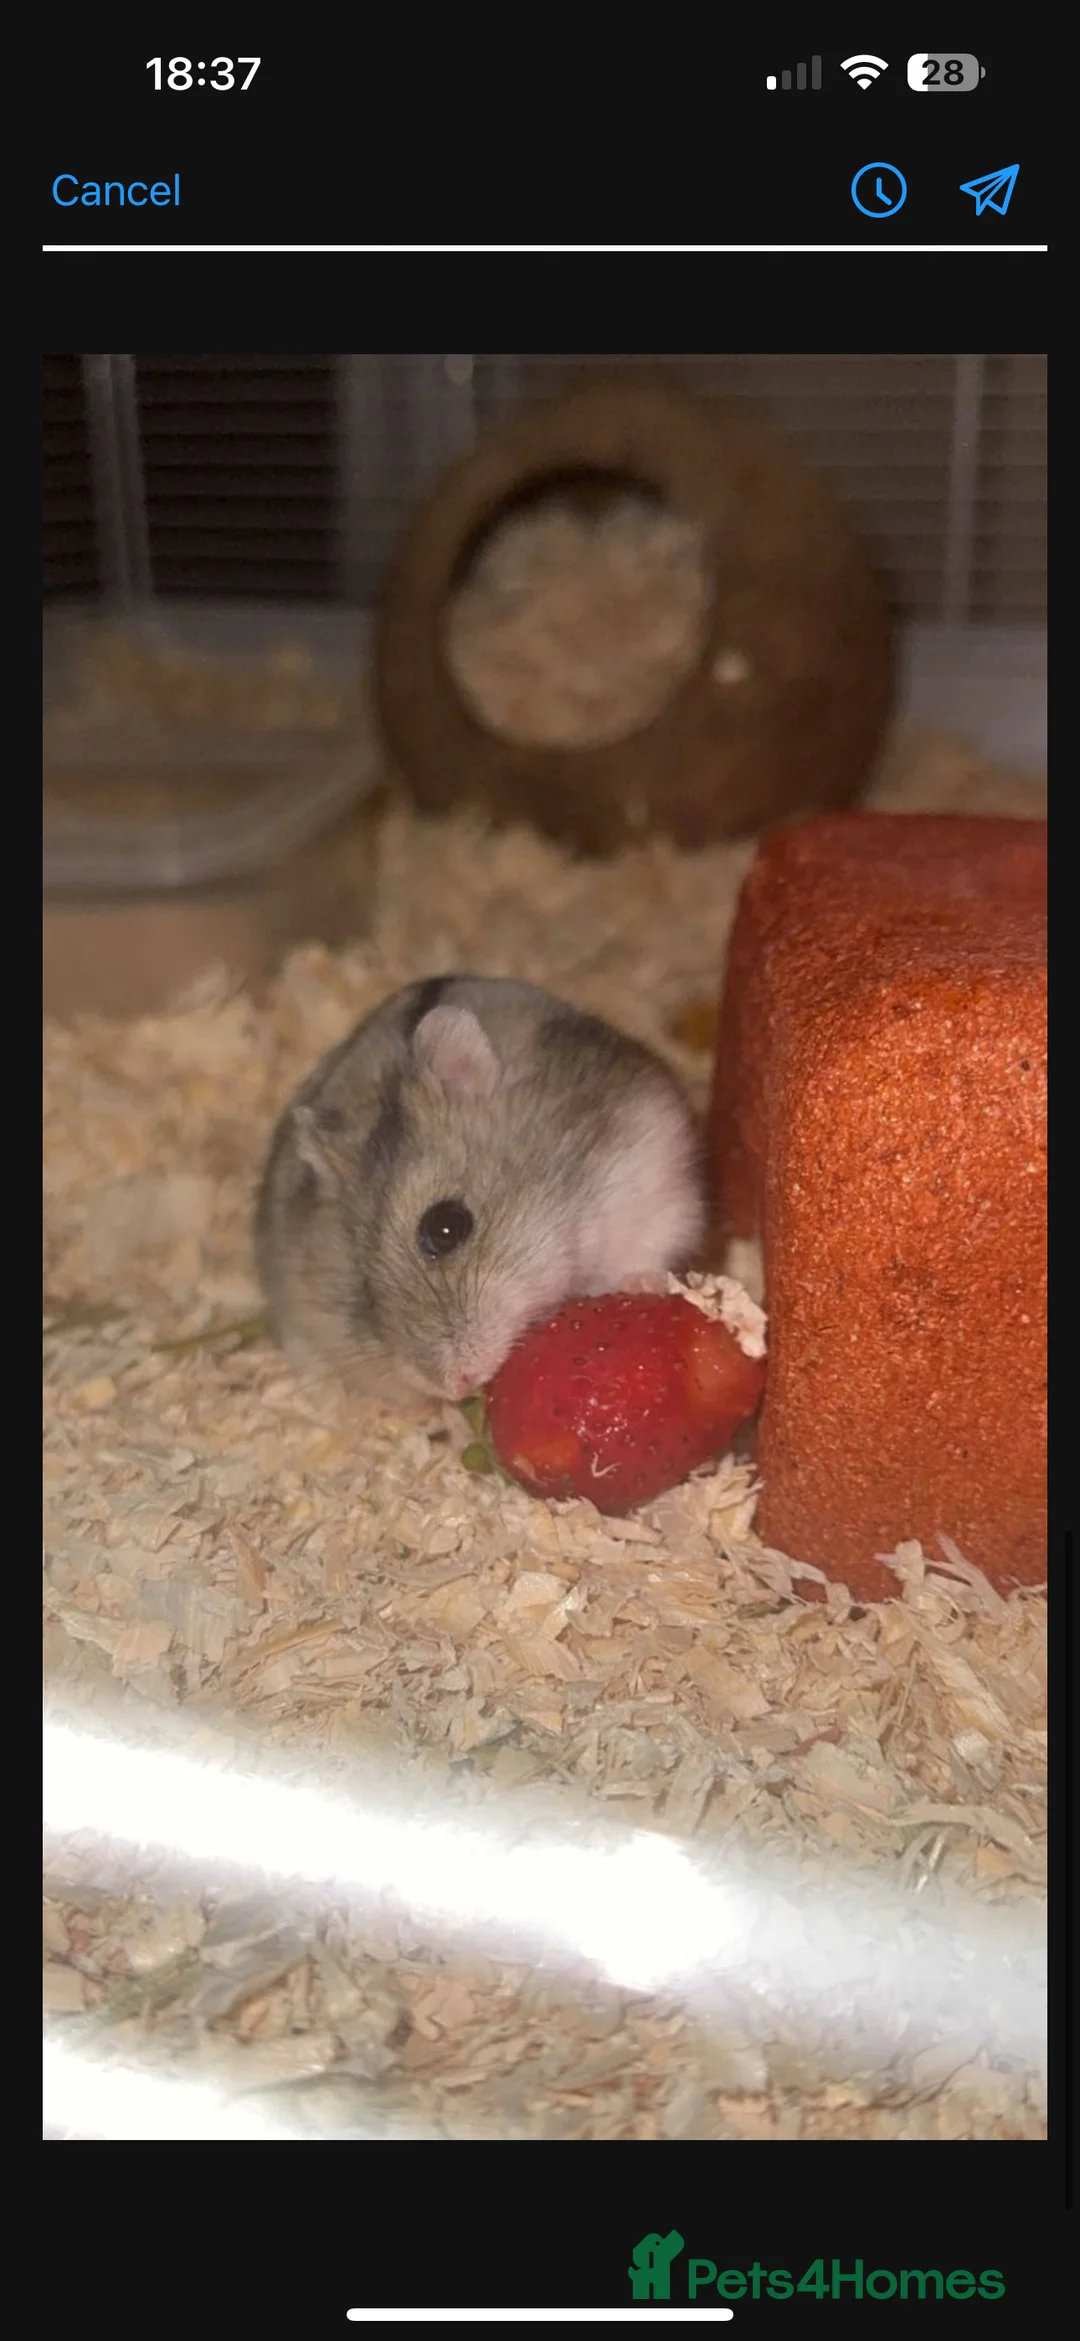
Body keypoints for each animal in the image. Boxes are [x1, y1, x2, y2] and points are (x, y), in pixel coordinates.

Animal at [254, 974, 706, 1403]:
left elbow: (645, 1253)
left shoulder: (653, 1172)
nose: (455, 1386)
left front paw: (643, 1285)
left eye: (446, 1227)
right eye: (362, 1291)